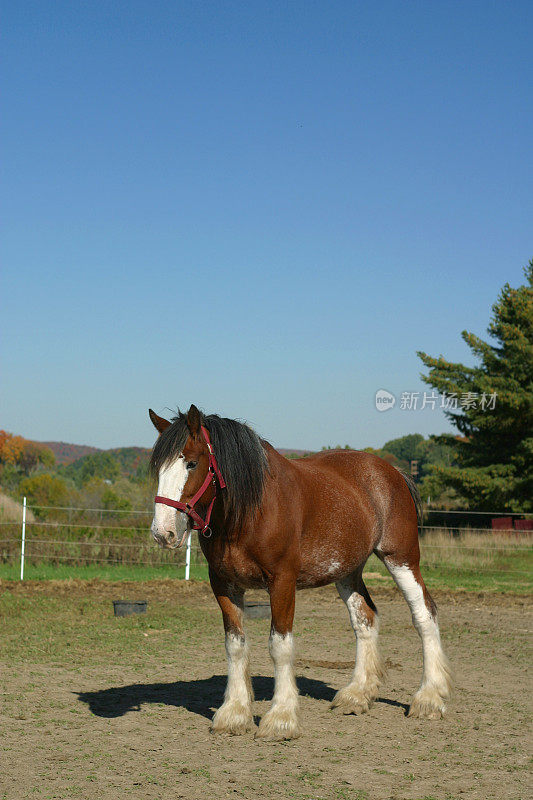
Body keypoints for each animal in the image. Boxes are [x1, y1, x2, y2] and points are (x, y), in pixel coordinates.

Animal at [148, 404, 450, 740]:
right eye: (158, 468)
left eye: (191, 462)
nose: (163, 532)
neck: (251, 510)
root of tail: (393, 473)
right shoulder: (224, 585)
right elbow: (235, 645)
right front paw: (234, 714)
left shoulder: (282, 582)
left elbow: (280, 646)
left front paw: (280, 718)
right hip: (347, 571)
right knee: (365, 620)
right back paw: (357, 695)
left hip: (401, 558)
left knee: (424, 614)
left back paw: (429, 698)